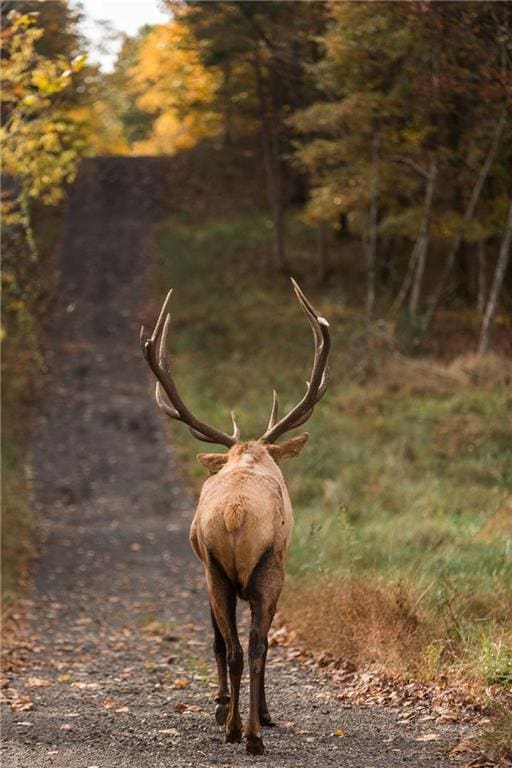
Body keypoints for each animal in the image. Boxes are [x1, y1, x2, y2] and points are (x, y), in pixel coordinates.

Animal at [141, 280, 332, 752]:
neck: (248, 456)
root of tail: (234, 513)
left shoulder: (204, 567)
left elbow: (216, 641)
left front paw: (220, 705)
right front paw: (252, 711)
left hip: (216, 572)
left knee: (231, 647)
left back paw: (233, 727)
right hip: (267, 569)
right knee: (256, 645)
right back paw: (253, 731)